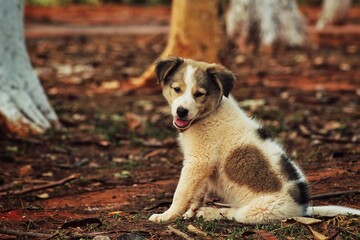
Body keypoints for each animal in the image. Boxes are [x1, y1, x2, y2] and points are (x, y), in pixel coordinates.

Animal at [149, 56, 360, 225]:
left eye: (199, 94)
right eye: (177, 89)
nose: (181, 112)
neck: (209, 114)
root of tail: (302, 208)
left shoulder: (198, 161)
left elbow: (181, 192)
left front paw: (166, 216)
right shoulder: (203, 166)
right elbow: (198, 191)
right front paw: (189, 211)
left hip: (259, 210)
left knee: (235, 214)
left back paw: (209, 213)